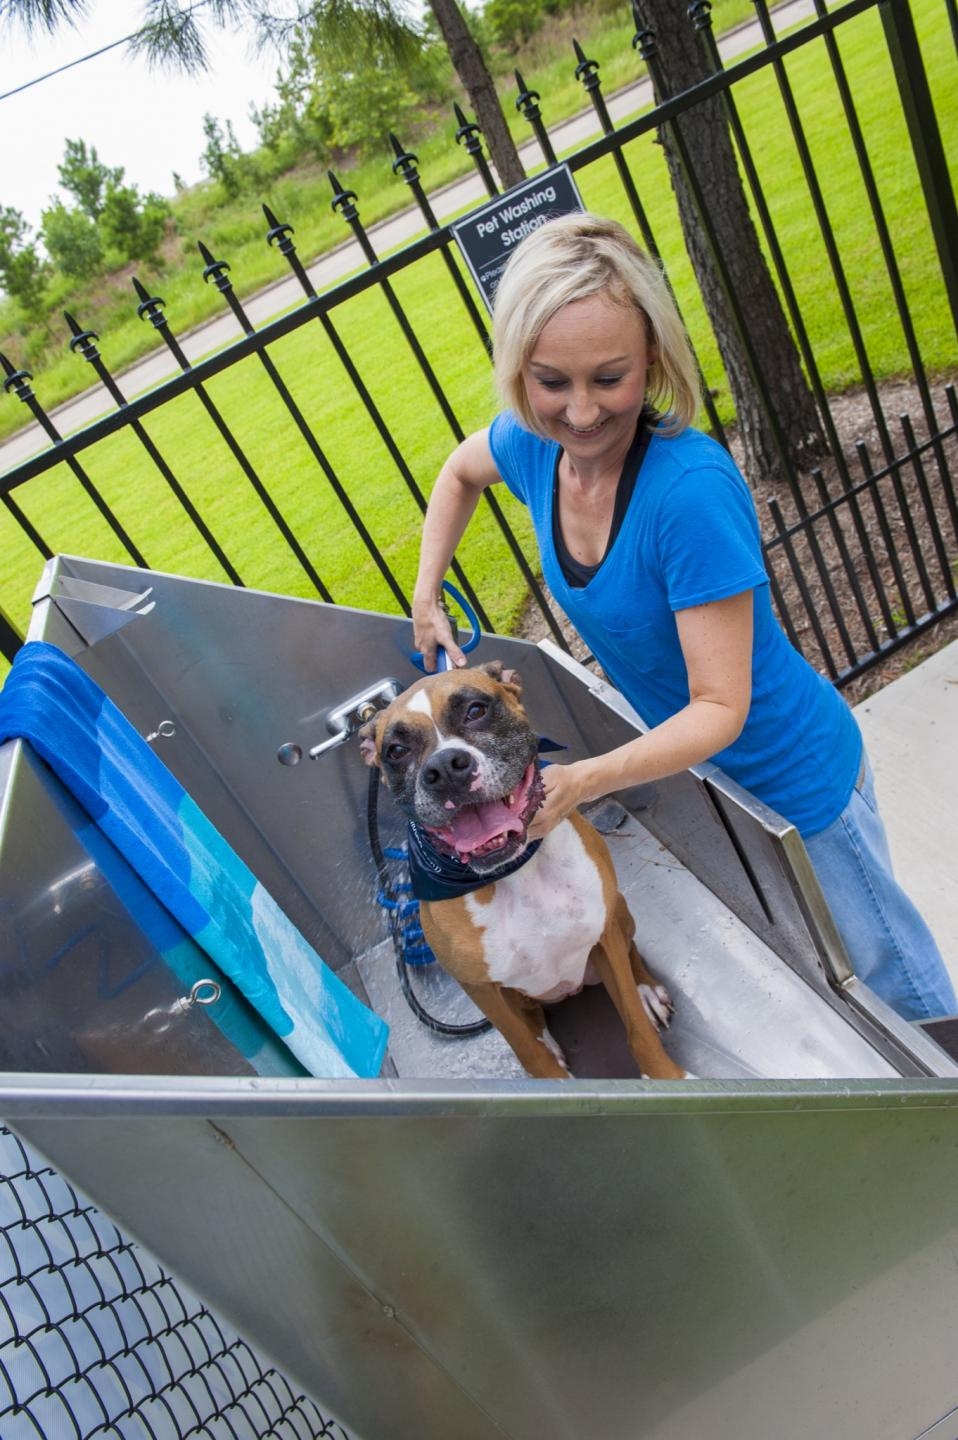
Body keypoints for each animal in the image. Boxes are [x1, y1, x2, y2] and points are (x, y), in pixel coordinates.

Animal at [358, 662, 688, 1082]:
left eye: (476, 710)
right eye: (397, 751)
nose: (444, 767)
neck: (512, 874)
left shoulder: (603, 936)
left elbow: (635, 1024)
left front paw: (667, 1075)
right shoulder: (482, 990)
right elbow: (525, 1049)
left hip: (620, 911)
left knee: (631, 953)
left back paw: (647, 990)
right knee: (531, 1020)